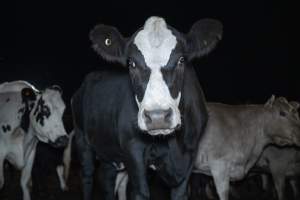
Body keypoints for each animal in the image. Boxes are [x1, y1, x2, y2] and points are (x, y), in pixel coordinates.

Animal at [72, 16, 223, 200]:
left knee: (107, 180)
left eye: (181, 60)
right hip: (82, 138)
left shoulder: (191, 153)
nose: (157, 117)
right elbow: (140, 192)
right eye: (131, 63)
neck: (172, 145)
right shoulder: (133, 150)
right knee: (87, 176)